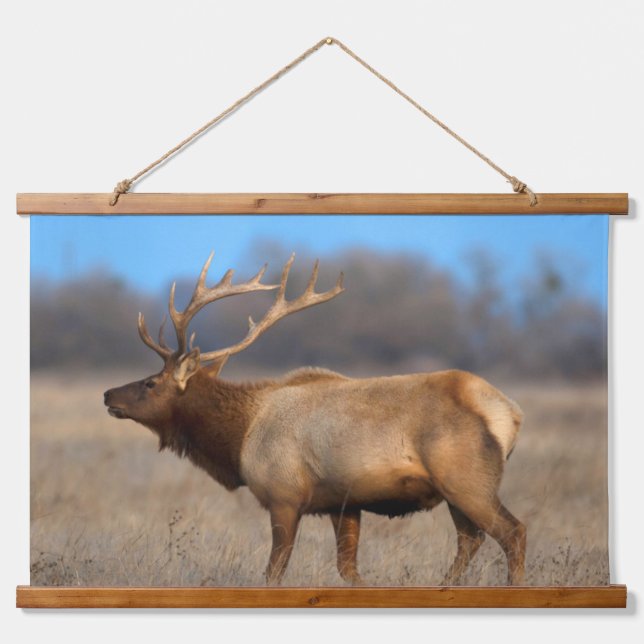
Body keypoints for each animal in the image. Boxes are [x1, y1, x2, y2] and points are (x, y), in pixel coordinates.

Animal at [103, 252, 526, 586]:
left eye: (150, 382)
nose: (108, 395)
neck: (239, 438)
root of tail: (509, 413)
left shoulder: (284, 495)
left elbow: (274, 572)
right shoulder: (344, 503)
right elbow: (349, 570)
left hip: (466, 480)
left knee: (513, 533)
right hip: (458, 490)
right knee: (471, 540)